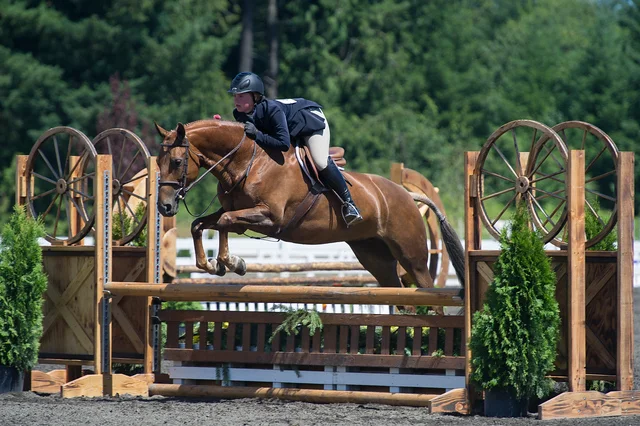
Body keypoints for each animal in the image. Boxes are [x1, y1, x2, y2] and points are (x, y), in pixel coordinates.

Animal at [154, 119, 465, 291]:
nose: (165, 208)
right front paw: (210, 263)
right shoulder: (241, 214)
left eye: (177, 162)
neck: (248, 162)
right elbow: (202, 224)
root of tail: (407, 196)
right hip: (375, 257)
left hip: (413, 258)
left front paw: (231, 263)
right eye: (158, 162)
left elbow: (223, 222)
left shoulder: (270, 217)